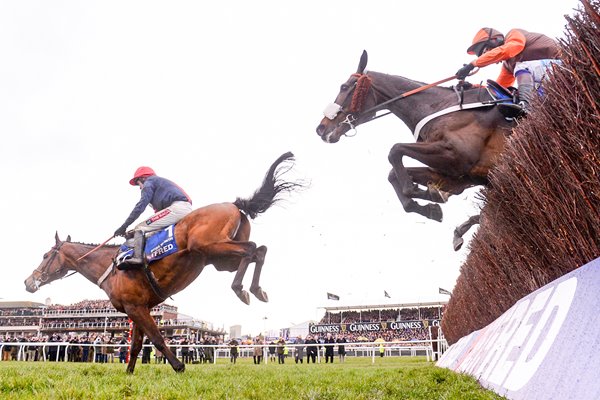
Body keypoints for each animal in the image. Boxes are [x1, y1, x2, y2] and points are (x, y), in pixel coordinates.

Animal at [25, 152, 302, 374]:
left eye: (45, 255)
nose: (28, 281)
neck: (110, 265)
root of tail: (233, 204)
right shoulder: (136, 308)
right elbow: (136, 344)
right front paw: (129, 373)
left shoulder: (137, 308)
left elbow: (156, 339)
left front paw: (179, 366)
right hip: (221, 259)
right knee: (258, 251)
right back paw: (254, 290)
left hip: (209, 246)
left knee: (252, 249)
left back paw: (242, 289)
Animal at [316, 50, 512, 227]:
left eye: (344, 87)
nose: (321, 128)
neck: (439, 106)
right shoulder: (456, 174)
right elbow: (392, 174)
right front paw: (429, 203)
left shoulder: (457, 155)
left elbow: (395, 150)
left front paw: (423, 192)